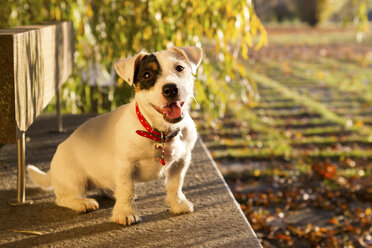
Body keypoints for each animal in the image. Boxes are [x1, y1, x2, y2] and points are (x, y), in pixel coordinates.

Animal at [27, 46, 202, 225]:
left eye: (179, 68)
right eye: (147, 75)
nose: (170, 89)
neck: (160, 132)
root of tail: (52, 170)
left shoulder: (181, 162)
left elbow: (175, 184)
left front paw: (178, 204)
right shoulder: (125, 165)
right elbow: (126, 189)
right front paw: (126, 212)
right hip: (75, 179)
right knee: (63, 198)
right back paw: (81, 202)